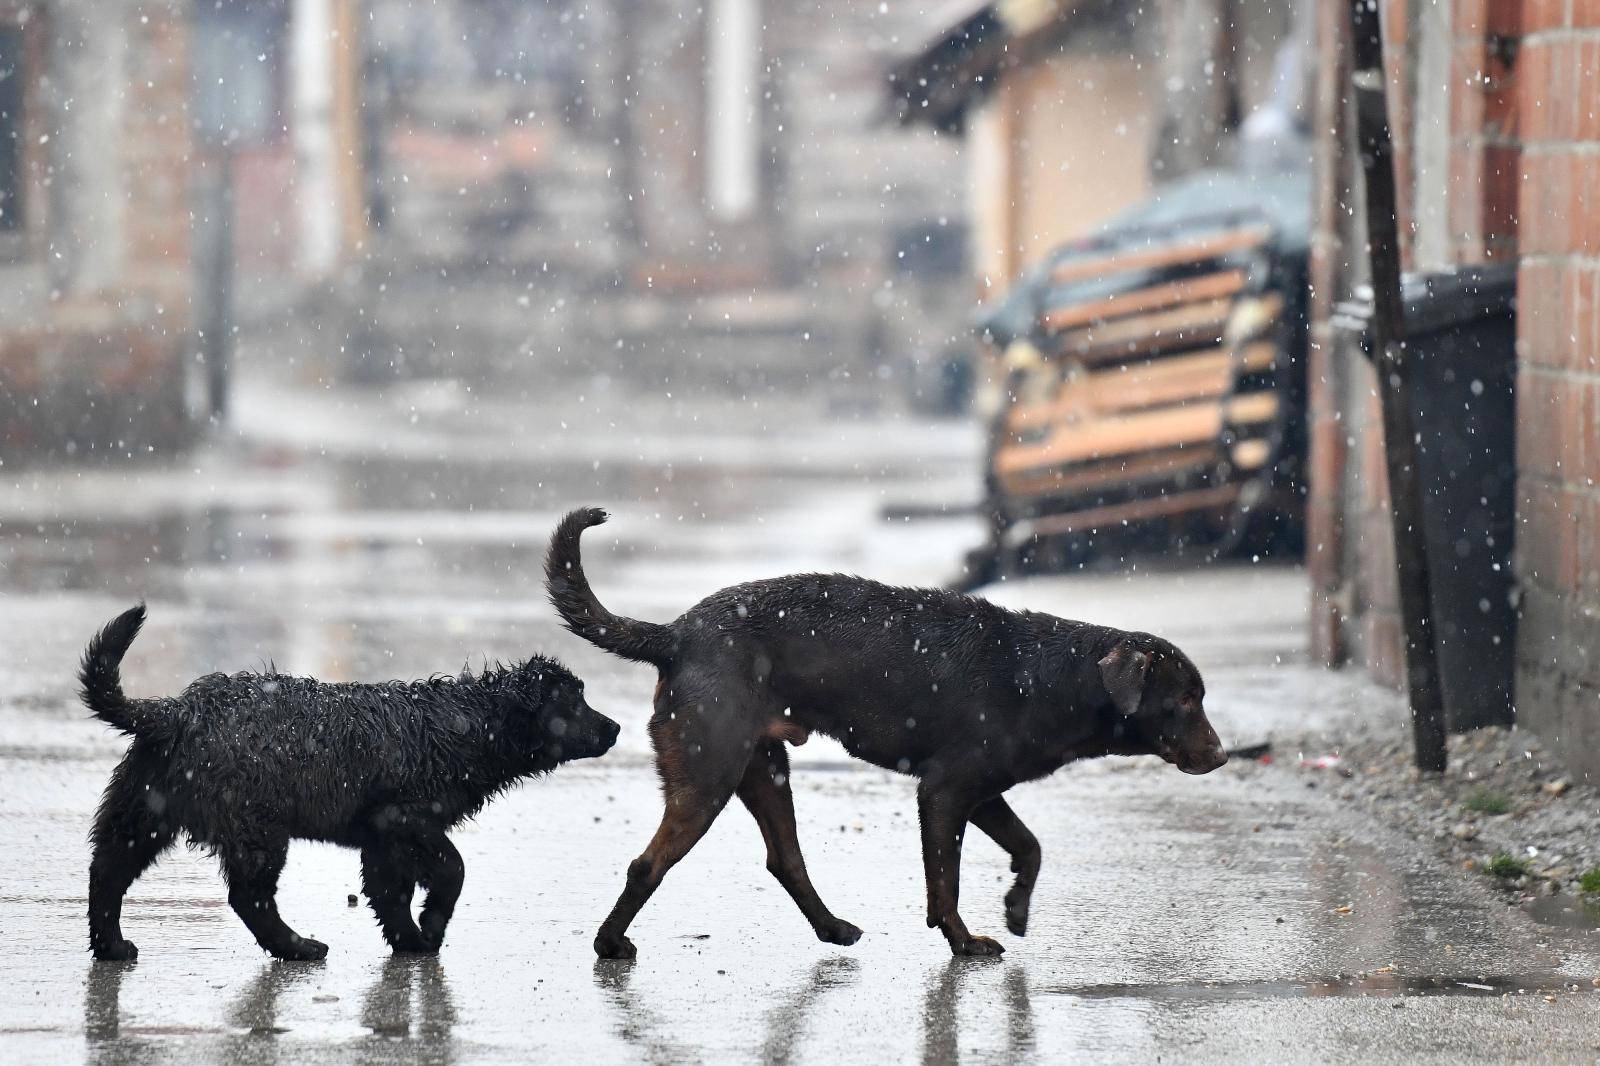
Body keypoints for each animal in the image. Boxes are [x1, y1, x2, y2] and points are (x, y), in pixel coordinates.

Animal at [81, 601, 620, 960]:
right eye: (574, 702)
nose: (614, 728)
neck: (467, 724)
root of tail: (176, 713)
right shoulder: (406, 817)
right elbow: (452, 869)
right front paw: (431, 927)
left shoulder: (382, 837)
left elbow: (388, 893)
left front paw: (410, 941)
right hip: (257, 827)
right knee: (250, 897)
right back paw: (300, 948)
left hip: (142, 811)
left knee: (106, 873)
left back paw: (112, 947)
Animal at [544, 505, 1228, 953]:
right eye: (1184, 700)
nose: (1222, 756)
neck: (1054, 676)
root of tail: (676, 634)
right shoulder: (944, 793)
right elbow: (945, 884)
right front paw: (964, 942)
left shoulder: (981, 791)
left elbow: (1029, 846)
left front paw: (1015, 908)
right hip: (707, 774)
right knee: (647, 865)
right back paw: (609, 944)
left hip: (763, 770)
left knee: (785, 859)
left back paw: (832, 929)